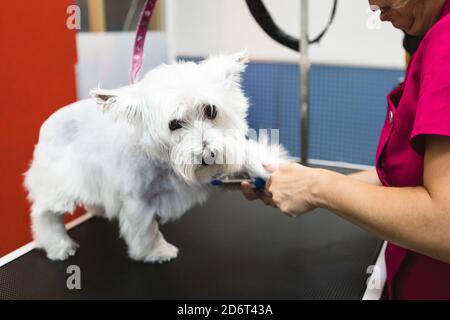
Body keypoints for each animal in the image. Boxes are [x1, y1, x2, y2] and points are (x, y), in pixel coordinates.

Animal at [24, 50, 290, 262]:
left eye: (210, 110)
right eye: (174, 124)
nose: (208, 154)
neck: (164, 163)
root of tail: (46, 124)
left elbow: (246, 152)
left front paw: (270, 167)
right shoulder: (138, 199)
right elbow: (145, 229)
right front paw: (155, 251)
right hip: (58, 184)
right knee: (44, 213)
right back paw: (58, 245)